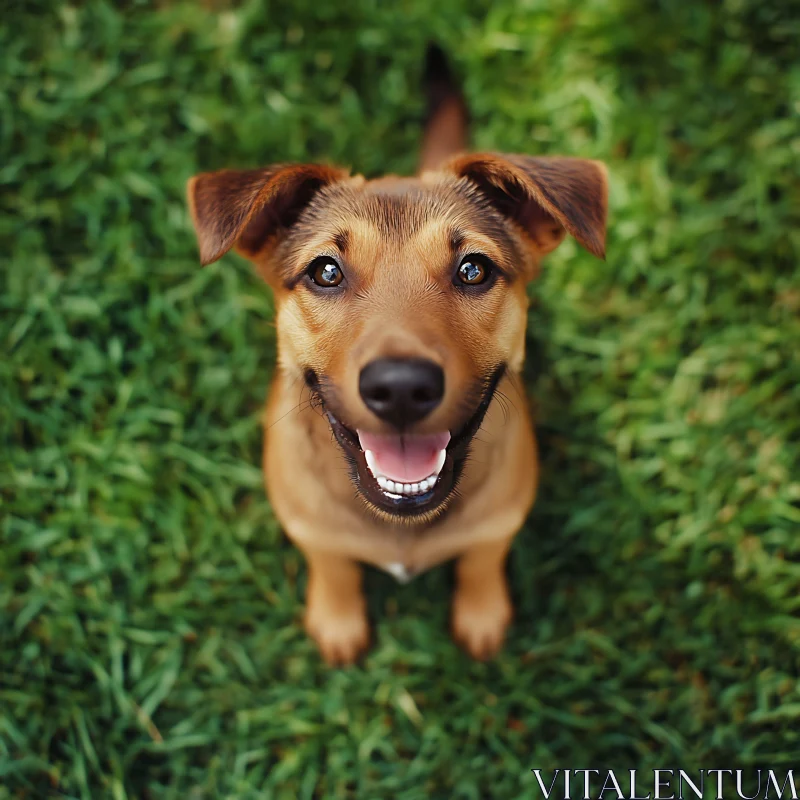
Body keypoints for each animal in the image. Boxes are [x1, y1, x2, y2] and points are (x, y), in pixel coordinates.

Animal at [186, 47, 608, 664]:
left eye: (473, 269)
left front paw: (482, 614)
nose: (402, 387)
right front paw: (337, 620)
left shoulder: (502, 519)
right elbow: (333, 565)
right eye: (326, 272)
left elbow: (482, 559)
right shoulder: (308, 525)